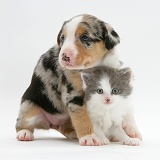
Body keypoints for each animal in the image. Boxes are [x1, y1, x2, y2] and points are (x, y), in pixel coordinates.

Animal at [15, 13, 141, 146]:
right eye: (62, 38)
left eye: (85, 37)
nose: (64, 56)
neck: (96, 66)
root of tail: (53, 123)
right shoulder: (74, 95)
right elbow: (82, 118)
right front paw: (89, 137)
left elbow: (128, 108)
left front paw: (133, 131)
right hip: (29, 105)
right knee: (22, 122)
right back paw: (24, 133)